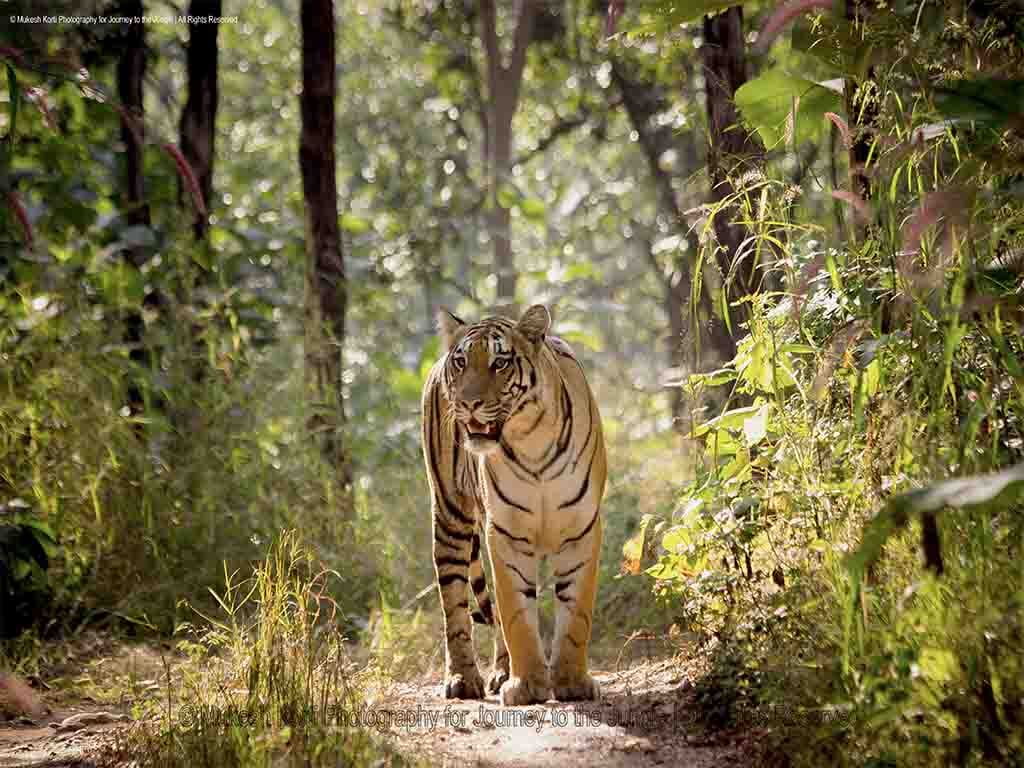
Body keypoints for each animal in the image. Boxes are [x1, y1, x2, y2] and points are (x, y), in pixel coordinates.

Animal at [421, 304, 607, 706]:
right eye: (461, 362)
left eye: (500, 362)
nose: (468, 403)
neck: (531, 439)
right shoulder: (505, 534)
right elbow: (516, 616)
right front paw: (528, 686)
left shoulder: (581, 530)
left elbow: (576, 614)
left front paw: (571, 682)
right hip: (449, 515)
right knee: (455, 606)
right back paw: (464, 679)